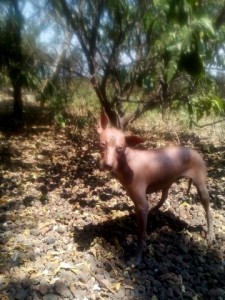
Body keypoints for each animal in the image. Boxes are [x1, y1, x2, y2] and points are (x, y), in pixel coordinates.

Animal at [96, 110, 214, 262]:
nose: (108, 165)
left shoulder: (141, 205)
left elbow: (141, 234)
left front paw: (138, 257)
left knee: (208, 210)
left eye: (120, 149)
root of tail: (194, 151)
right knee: (165, 196)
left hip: (201, 187)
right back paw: (154, 210)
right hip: (167, 180)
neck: (127, 161)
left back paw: (210, 233)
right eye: (102, 144)